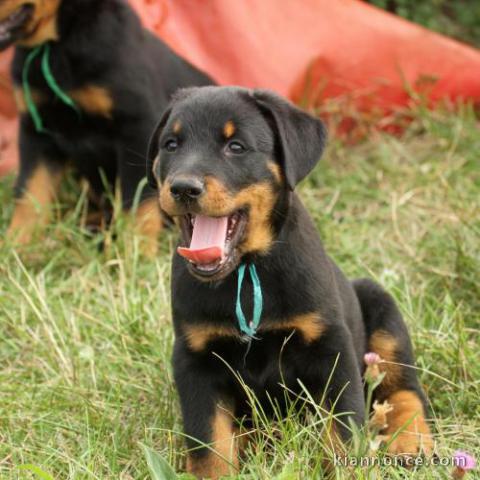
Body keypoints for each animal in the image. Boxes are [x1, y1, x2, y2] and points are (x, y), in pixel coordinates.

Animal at [1, 0, 212, 255]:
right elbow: (30, 194)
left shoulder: (138, 127)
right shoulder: (36, 132)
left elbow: (136, 204)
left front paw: (134, 254)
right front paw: (16, 247)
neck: (60, 43)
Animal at [148, 87, 434, 480]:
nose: (182, 188)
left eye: (236, 146)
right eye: (171, 144)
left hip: (381, 310)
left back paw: (410, 441)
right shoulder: (196, 356)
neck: (246, 269)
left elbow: (343, 432)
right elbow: (209, 444)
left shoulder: (331, 346)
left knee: (403, 389)